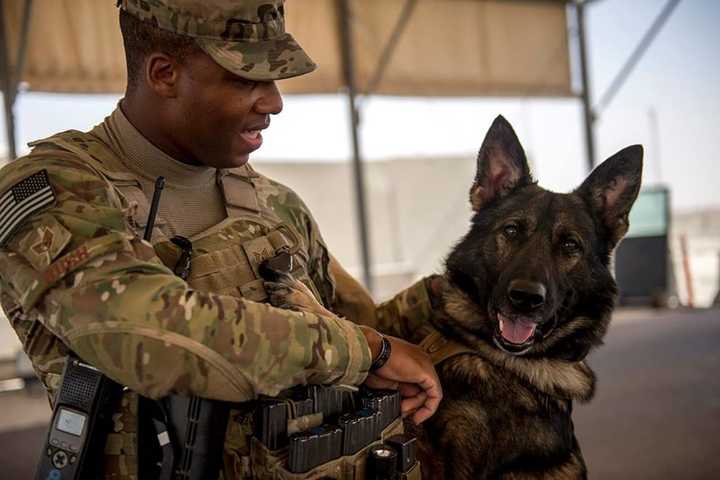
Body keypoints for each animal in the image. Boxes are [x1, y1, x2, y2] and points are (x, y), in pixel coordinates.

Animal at [264, 117, 640, 480]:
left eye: (570, 245)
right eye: (512, 230)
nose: (526, 298)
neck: (484, 351)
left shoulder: (441, 462)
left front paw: (307, 301)